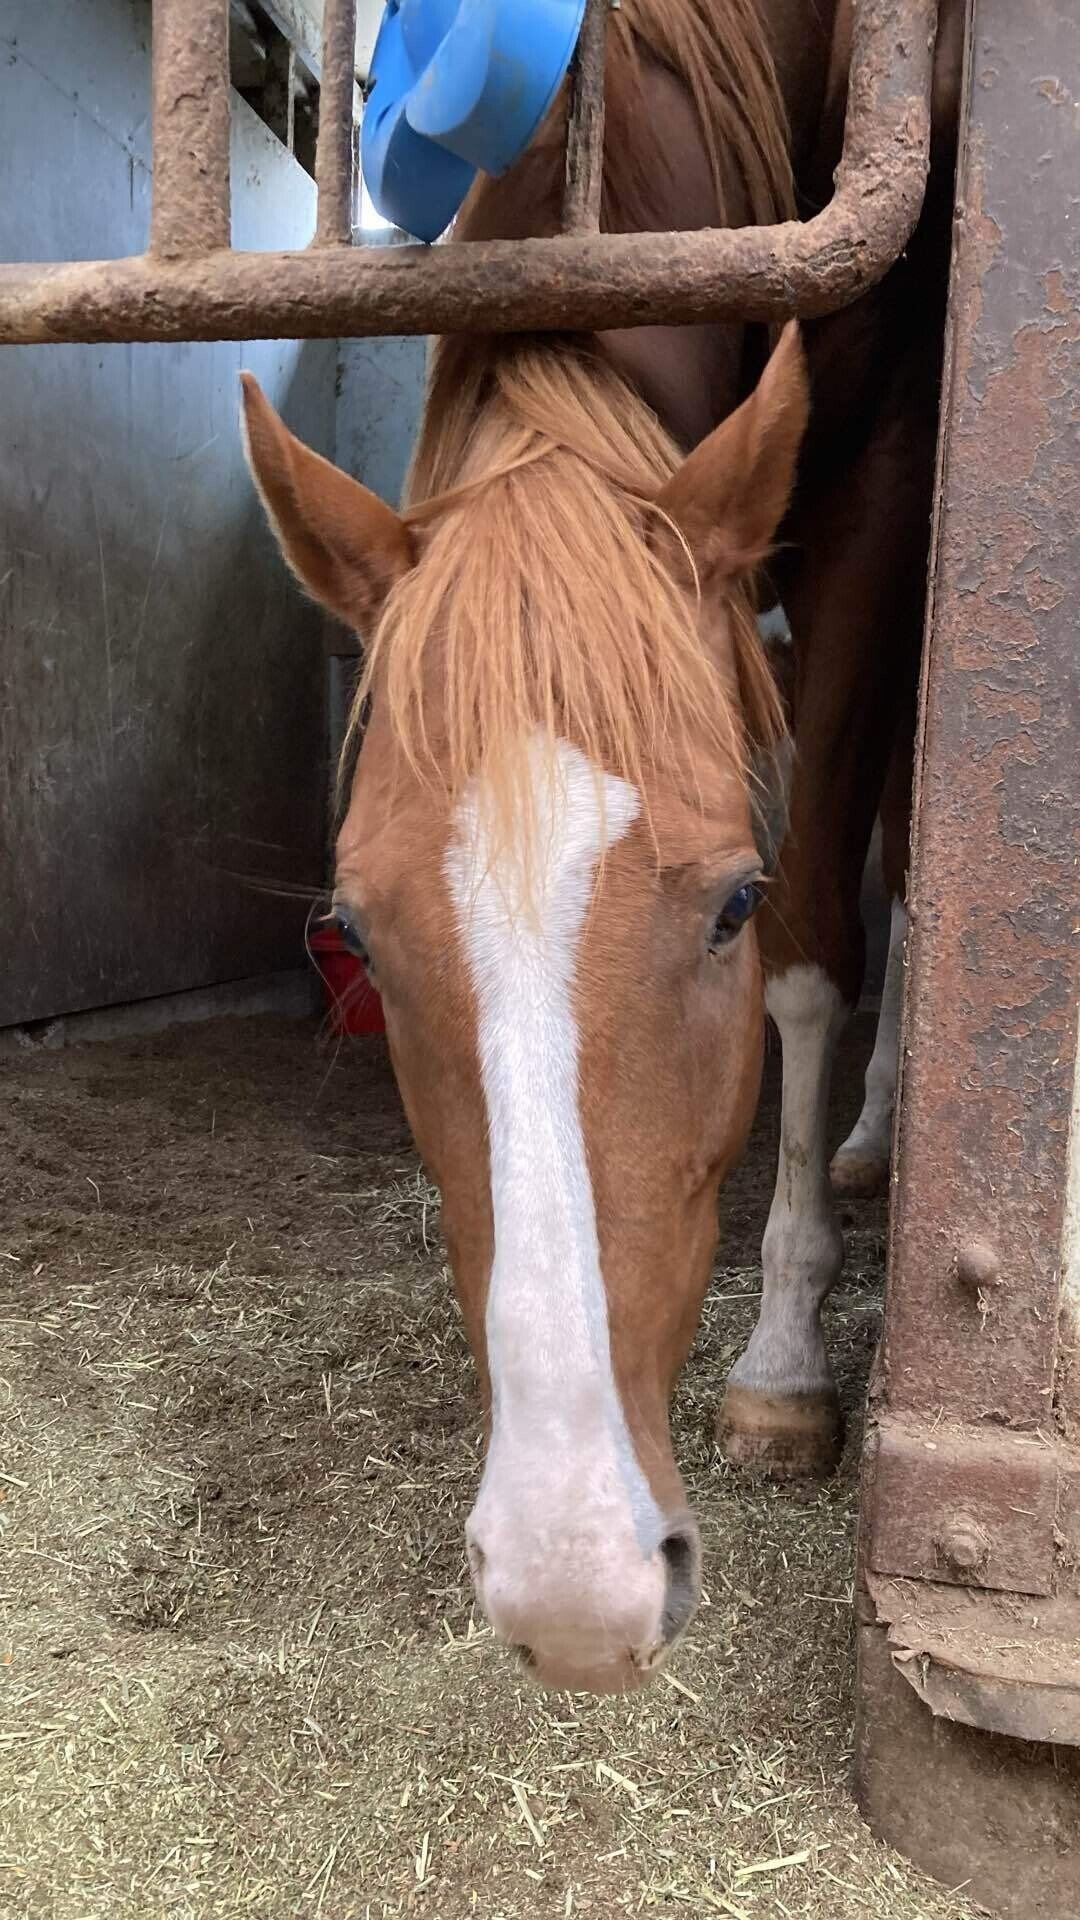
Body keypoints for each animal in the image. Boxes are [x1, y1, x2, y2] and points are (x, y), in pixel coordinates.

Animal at [240, 0, 962, 1693]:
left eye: (730, 906)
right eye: (358, 933)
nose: (576, 1585)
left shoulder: (872, 505)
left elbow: (822, 949)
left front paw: (783, 1364)